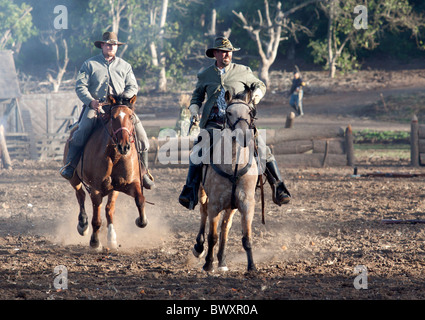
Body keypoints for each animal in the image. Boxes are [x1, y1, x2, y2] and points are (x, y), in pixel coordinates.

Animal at [63, 94, 147, 250]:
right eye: (113, 118)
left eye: (131, 116)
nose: (124, 146)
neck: (114, 156)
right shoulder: (96, 189)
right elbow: (96, 219)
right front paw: (95, 242)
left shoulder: (125, 184)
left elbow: (138, 200)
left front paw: (139, 221)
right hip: (74, 179)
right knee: (80, 196)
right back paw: (82, 225)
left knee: (105, 207)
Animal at [192, 84, 258, 272]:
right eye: (229, 112)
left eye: (249, 111)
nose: (243, 136)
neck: (233, 166)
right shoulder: (215, 204)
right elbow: (212, 236)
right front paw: (208, 264)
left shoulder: (246, 204)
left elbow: (246, 238)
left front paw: (251, 266)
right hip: (203, 195)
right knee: (203, 215)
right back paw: (199, 248)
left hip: (231, 206)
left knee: (225, 228)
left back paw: (221, 261)